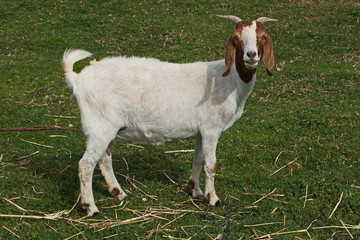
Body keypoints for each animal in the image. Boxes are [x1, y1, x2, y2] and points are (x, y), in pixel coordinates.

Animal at [62, 14, 278, 216]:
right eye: (236, 38)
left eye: (263, 37)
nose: (251, 55)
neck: (229, 81)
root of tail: (77, 79)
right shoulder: (211, 128)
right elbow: (211, 164)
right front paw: (213, 199)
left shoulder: (201, 130)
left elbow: (198, 159)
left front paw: (196, 191)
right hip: (99, 125)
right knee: (85, 164)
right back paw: (90, 207)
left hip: (110, 127)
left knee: (104, 158)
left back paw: (119, 193)